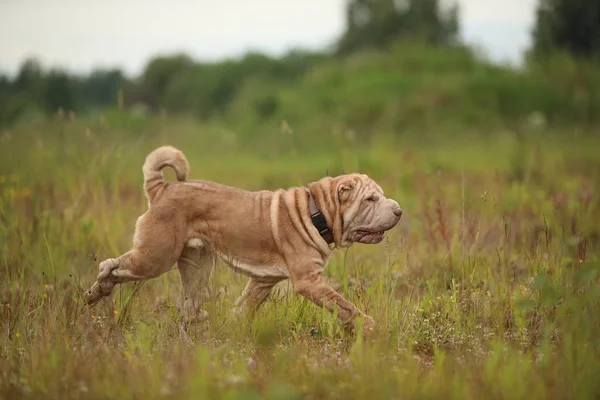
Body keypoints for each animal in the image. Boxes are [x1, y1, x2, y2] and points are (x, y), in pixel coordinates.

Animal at [83, 145, 404, 332]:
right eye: (371, 199)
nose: (399, 210)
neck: (318, 211)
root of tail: (163, 188)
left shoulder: (263, 280)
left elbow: (245, 306)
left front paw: (235, 326)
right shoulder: (309, 281)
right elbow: (345, 306)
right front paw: (370, 326)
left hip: (197, 265)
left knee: (187, 305)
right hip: (155, 257)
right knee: (110, 266)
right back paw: (94, 293)